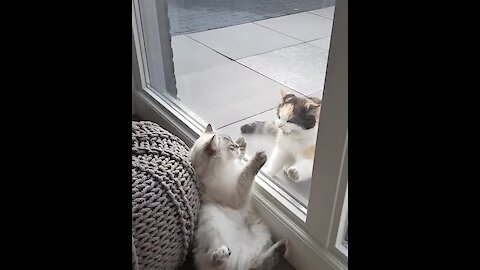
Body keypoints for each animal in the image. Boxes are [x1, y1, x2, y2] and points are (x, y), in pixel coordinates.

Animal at [189, 124, 288, 270]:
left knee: (258, 264)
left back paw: (283, 246)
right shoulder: (236, 193)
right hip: (211, 238)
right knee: (216, 264)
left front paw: (242, 143)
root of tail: (240, 266)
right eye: (231, 147)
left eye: (233, 143)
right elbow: (246, 173)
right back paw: (222, 254)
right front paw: (259, 156)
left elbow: (241, 161)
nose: (236, 145)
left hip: (260, 233)